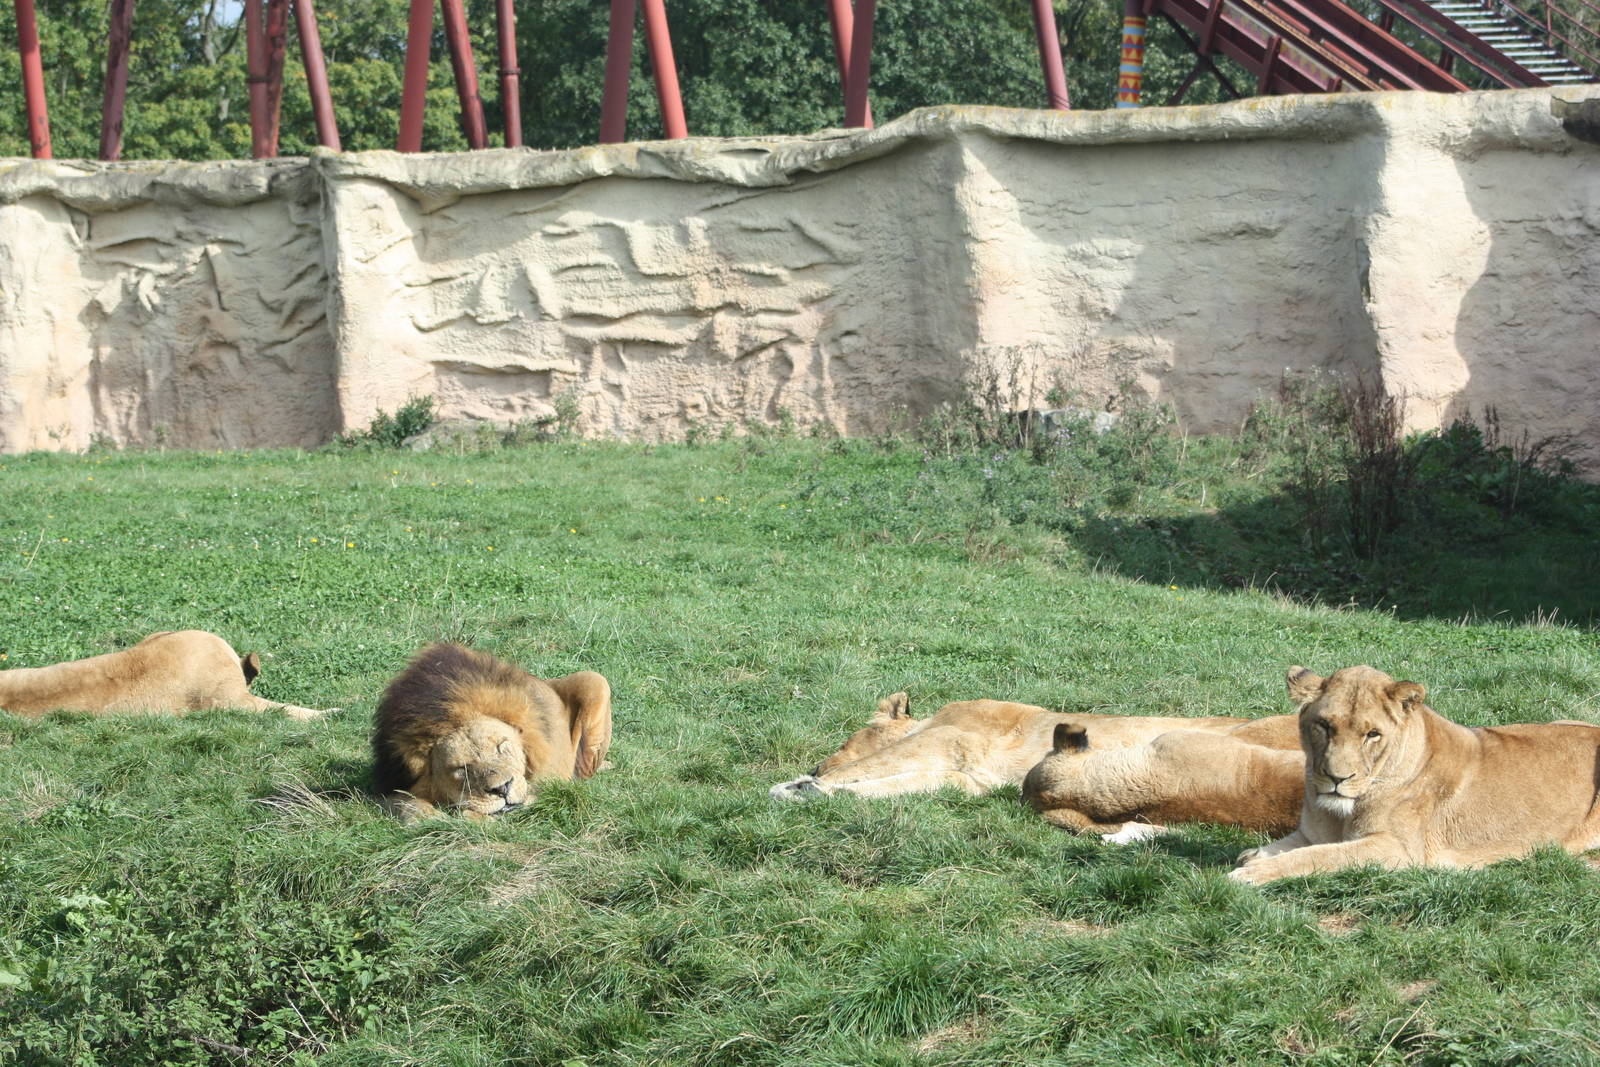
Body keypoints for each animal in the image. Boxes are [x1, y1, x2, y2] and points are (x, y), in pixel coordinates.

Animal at [371, 642, 613, 820]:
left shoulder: (544, 783)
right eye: (462, 768)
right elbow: (404, 804)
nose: (502, 788)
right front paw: (429, 816)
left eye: (501, 747)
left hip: (595, 680)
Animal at [1229, 665, 1600, 885]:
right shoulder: (1310, 832)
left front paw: (1253, 872)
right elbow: (1294, 847)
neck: (1341, 815)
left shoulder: (1397, 850)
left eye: (1372, 734)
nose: (1337, 779)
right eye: (1324, 725)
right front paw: (1256, 856)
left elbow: (1321, 855)